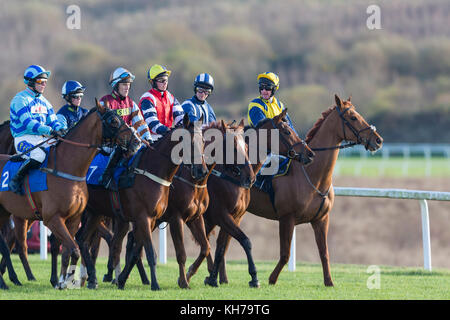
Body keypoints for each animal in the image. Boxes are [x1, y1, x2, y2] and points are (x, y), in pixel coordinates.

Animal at [0, 99, 141, 288]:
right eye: (113, 121)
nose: (136, 142)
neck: (68, 168)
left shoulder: (74, 218)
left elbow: (69, 251)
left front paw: (64, 281)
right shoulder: (53, 219)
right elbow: (74, 249)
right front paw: (68, 281)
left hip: (7, 213)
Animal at [77, 114, 209, 292]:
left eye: (203, 141)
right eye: (188, 142)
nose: (202, 171)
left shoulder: (161, 219)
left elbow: (136, 252)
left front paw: (122, 280)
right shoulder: (160, 218)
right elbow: (162, 252)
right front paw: (170, 283)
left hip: (96, 213)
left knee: (85, 240)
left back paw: (91, 278)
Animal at [185, 110, 314, 288]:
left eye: (245, 148)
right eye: (287, 131)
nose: (310, 153)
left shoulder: (233, 216)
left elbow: (220, 247)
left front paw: (212, 278)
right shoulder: (220, 214)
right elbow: (244, 241)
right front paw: (254, 277)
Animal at [214, 94, 384, 286]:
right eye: (353, 117)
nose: (378, 140)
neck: (312, 176)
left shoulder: (321, 219)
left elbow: (324, 253)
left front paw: (329, 281)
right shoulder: (287, 218)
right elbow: (285, 254)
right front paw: (271, 279)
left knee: (224, 240)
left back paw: (222, 278)